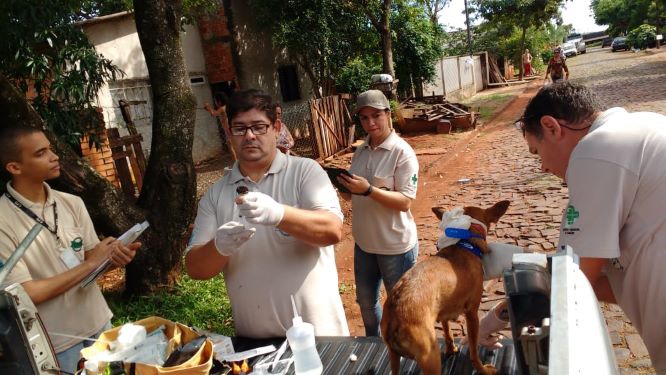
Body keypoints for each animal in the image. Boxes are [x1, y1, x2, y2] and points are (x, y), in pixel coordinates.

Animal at [378, 201, 508, 375]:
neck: (463, 245)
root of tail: (395, 315)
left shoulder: (444, 312)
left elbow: (447, 332)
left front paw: (451, 349)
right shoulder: (472, 314)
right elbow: (474, 350)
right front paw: (483, 369)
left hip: (393, 358)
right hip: (430, 357)